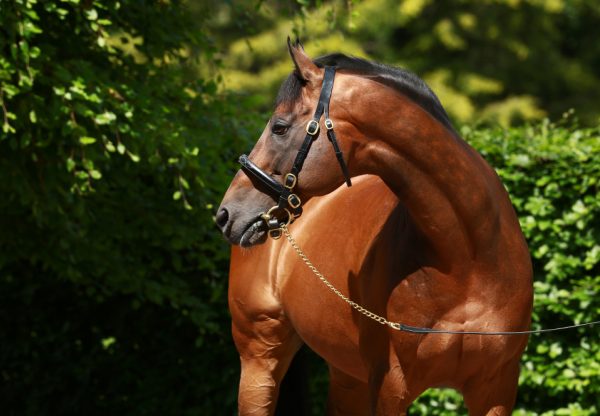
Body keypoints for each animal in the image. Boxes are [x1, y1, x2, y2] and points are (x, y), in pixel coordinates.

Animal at [218, 39, 532, 416]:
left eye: (279, 127)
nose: (226, 213)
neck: (468, 259)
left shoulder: (496, 388)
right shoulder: (390, 387)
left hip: (346, 374)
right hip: (259, 358)